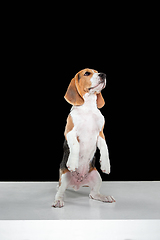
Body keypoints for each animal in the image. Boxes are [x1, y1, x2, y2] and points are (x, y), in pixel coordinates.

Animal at [52, 68, 115, 208]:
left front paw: (106, 164)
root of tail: (77, 183)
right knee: (60, 192)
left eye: (97, 71)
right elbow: (75, 145)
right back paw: (58, 201)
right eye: (87, 73)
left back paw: (104, 197)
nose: (103, 75)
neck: (88, 108)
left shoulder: (100, 134)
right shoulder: (69, 132)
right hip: (64, 177)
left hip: (96, 176)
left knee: (93, 194)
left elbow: (105, 148)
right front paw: (73, 163)